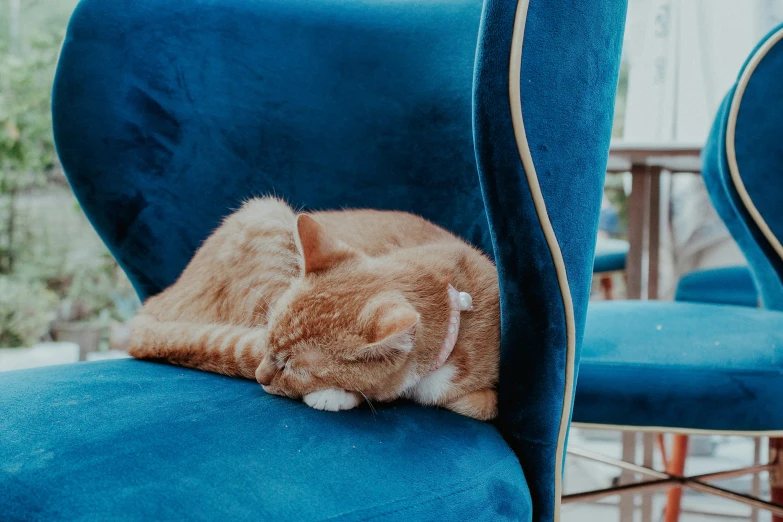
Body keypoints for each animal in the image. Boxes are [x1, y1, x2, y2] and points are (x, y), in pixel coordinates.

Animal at [126, 195, 500, 418]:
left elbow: (480, 403)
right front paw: (335, 395)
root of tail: (154, 303)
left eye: (294, 366)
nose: (262, 376)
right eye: (269, 344)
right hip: (266, 213)